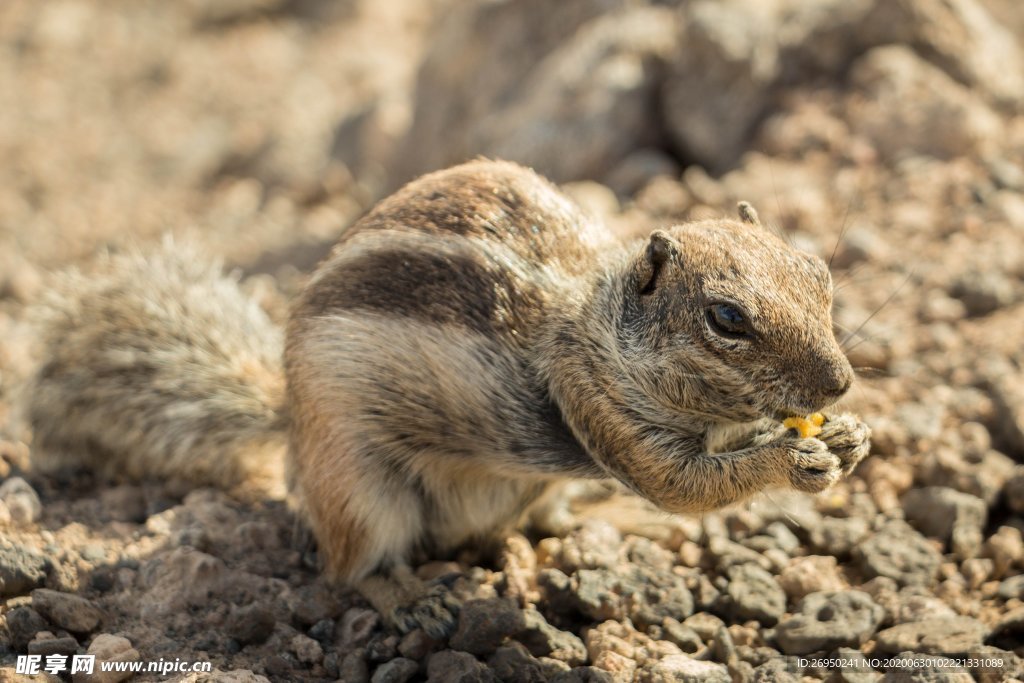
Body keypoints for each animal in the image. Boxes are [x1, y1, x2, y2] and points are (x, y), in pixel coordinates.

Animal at [24, 158, 868, 634]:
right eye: (726, 319)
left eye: (818, 271)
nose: (839, 382)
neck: (596, 322)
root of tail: (289, 418)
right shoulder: (596, 405)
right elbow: (682, 483)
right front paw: (793, 463)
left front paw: (849, 436)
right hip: (356, 484)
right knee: (350, 566)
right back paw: (410, 598)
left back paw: (606, 517)